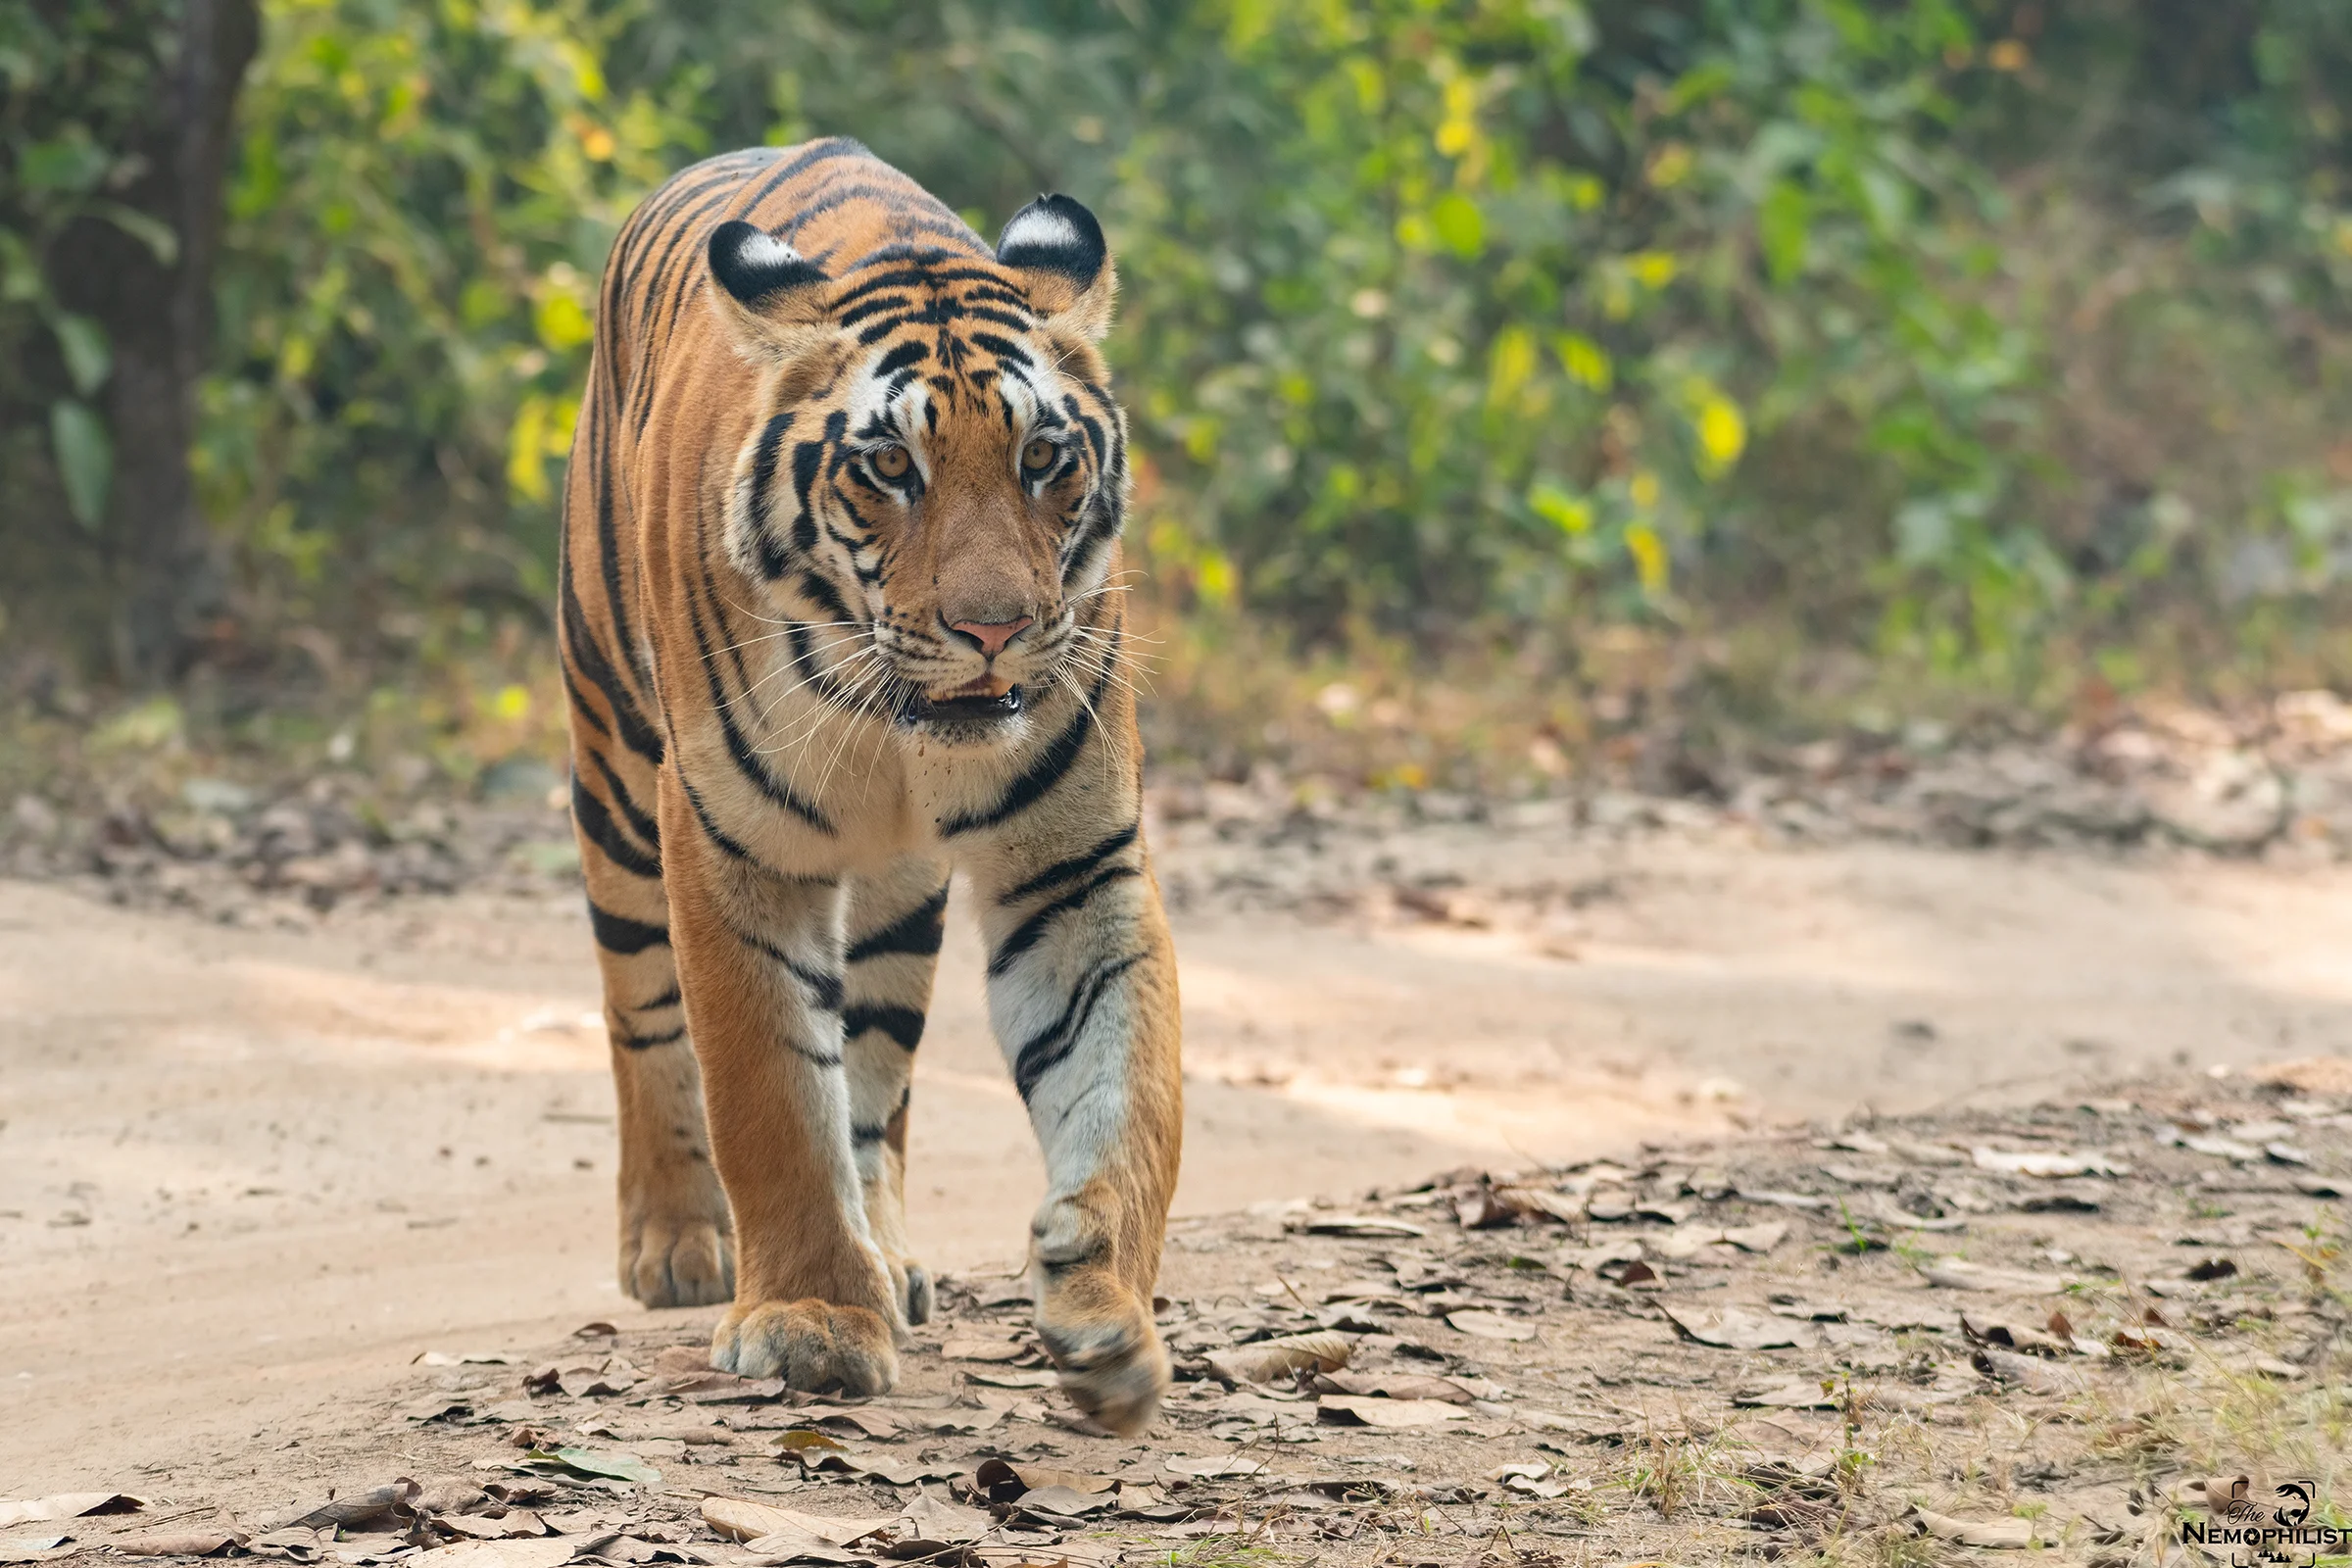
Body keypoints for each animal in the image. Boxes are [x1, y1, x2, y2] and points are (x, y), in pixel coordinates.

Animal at [556, 138, 1181, 1434]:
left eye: (1044, 459)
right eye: (891, 466)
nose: (995, 629)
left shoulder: (1074, 866)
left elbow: (1125, 1088)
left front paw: (1106, 1307)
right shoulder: (732, 847)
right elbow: (768, 1091)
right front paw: (806, 1323)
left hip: (898, 894)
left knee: (878, 1071)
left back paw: (889, 1255)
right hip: (613, 769)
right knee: (641, 1013)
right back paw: (679, 1241)